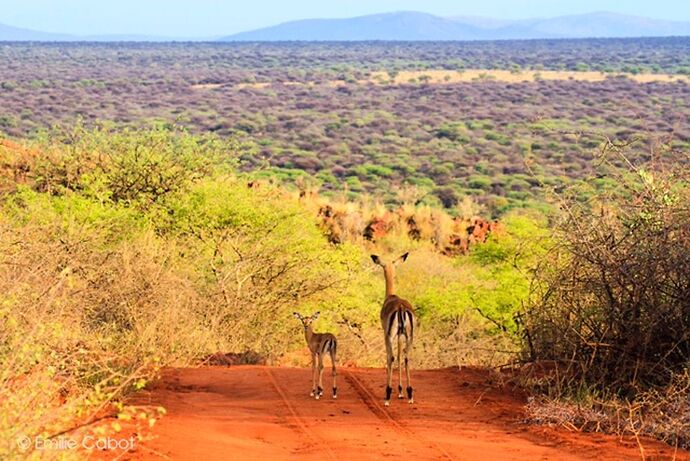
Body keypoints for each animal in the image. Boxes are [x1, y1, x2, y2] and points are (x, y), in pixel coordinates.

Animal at [370, 252, 414, 406]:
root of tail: (401, 307)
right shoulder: (400, 336)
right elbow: (400, 355)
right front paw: (400, 391)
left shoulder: (386, 334)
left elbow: (389, 357)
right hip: (409, 336)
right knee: (406, 356)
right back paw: (410, 393)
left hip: (390, 336)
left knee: (392, 356)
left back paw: (388, 395)